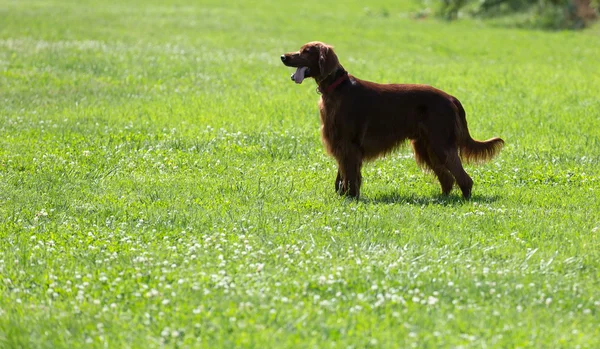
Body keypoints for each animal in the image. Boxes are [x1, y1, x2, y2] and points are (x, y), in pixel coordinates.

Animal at [280, 41, 502, 198]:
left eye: (306, 51)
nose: (283, 56)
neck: (337, 88)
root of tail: (450, 98)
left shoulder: (349, 144)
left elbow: (350, 175)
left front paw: (351, 198)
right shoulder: (340, 144)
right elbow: (342, 175)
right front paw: (343, 196)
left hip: (440, 144)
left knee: (464, 178)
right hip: (426, 147)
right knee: (447, 178)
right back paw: (442, 199)